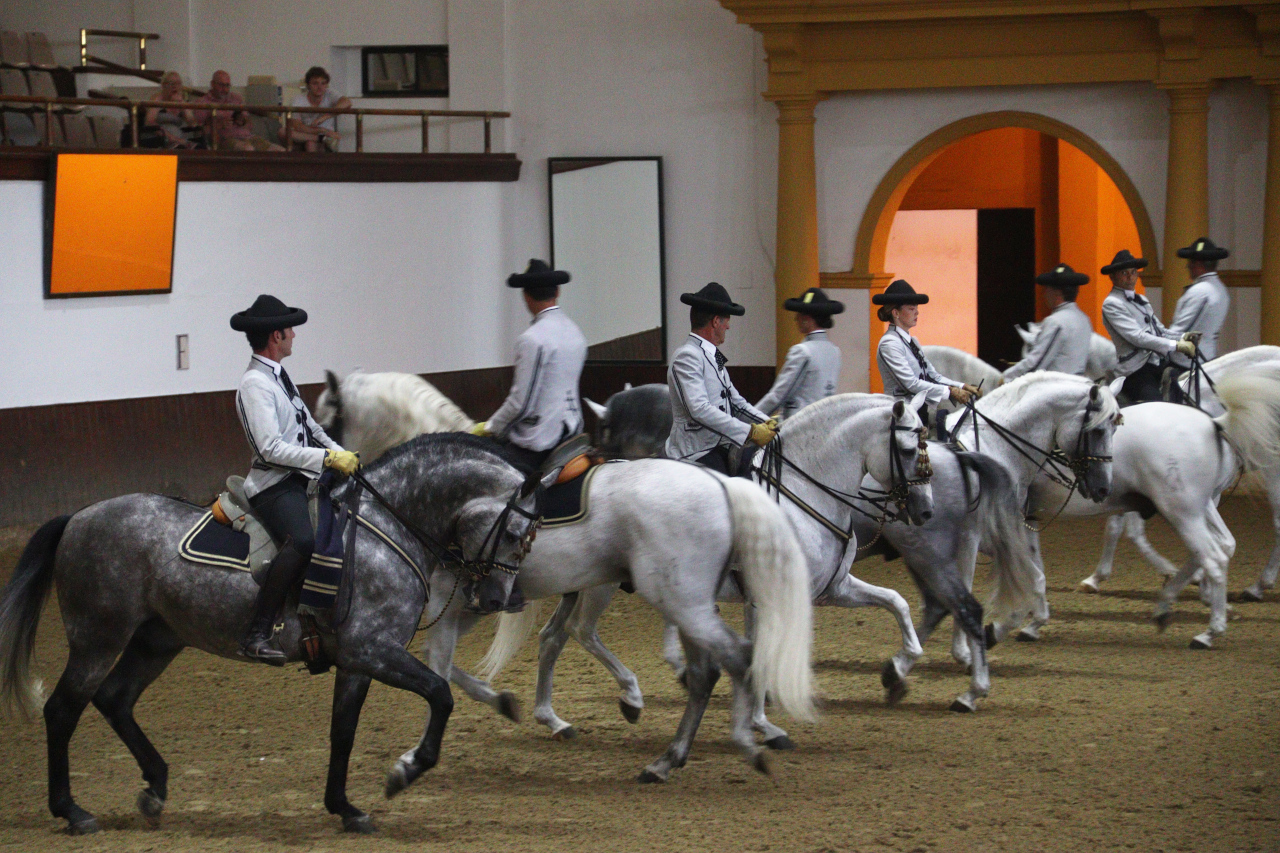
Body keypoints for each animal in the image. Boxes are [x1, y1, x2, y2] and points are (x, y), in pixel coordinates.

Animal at [0, 433, 540, 835]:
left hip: (158, 640)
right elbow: (440, 694)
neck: (386, 528)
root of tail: (78, 517)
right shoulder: (374, 650)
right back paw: (73, 812)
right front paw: (403, 772)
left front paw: (345, 808)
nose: (500, 599)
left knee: (115, 698)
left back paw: (154, 789)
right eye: (516, 535)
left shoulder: (358, 661)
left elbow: (343, 730)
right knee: (63, 711)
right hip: (98, 638)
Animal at [419, 456, 818, 783]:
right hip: (678, 603)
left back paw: (734, 744)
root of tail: (720, 484)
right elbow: (437, 660)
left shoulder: (451, 601)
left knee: (734, 658)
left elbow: (437, 662)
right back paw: (662, 756)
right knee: (706, 671)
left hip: (674, 602)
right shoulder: (457, 603)